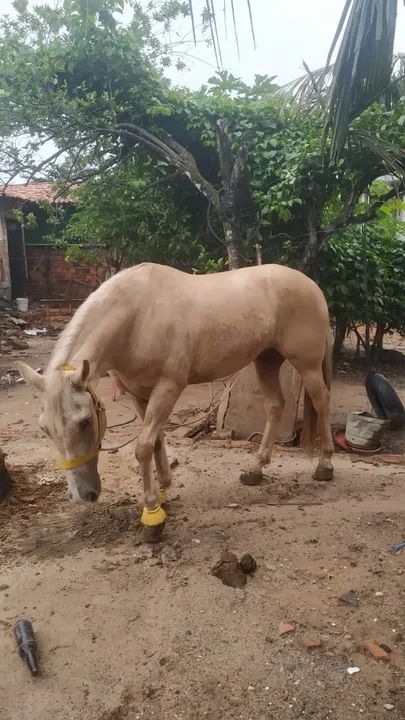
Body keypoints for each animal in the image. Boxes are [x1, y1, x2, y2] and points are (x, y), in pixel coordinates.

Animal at [18, 262, 334, 541]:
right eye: (45, 428)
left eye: (84, 421)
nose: (82, 495)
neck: (137, 317)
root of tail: (313, 286)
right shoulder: (139, 394)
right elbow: (156, 440)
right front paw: (164, 493)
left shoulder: (168, 388)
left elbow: (143, 446)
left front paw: (152, 517)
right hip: (266, 360)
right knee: (275, 405)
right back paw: (255, 469)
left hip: (306, 365)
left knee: (322, 402)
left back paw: (324, 466)